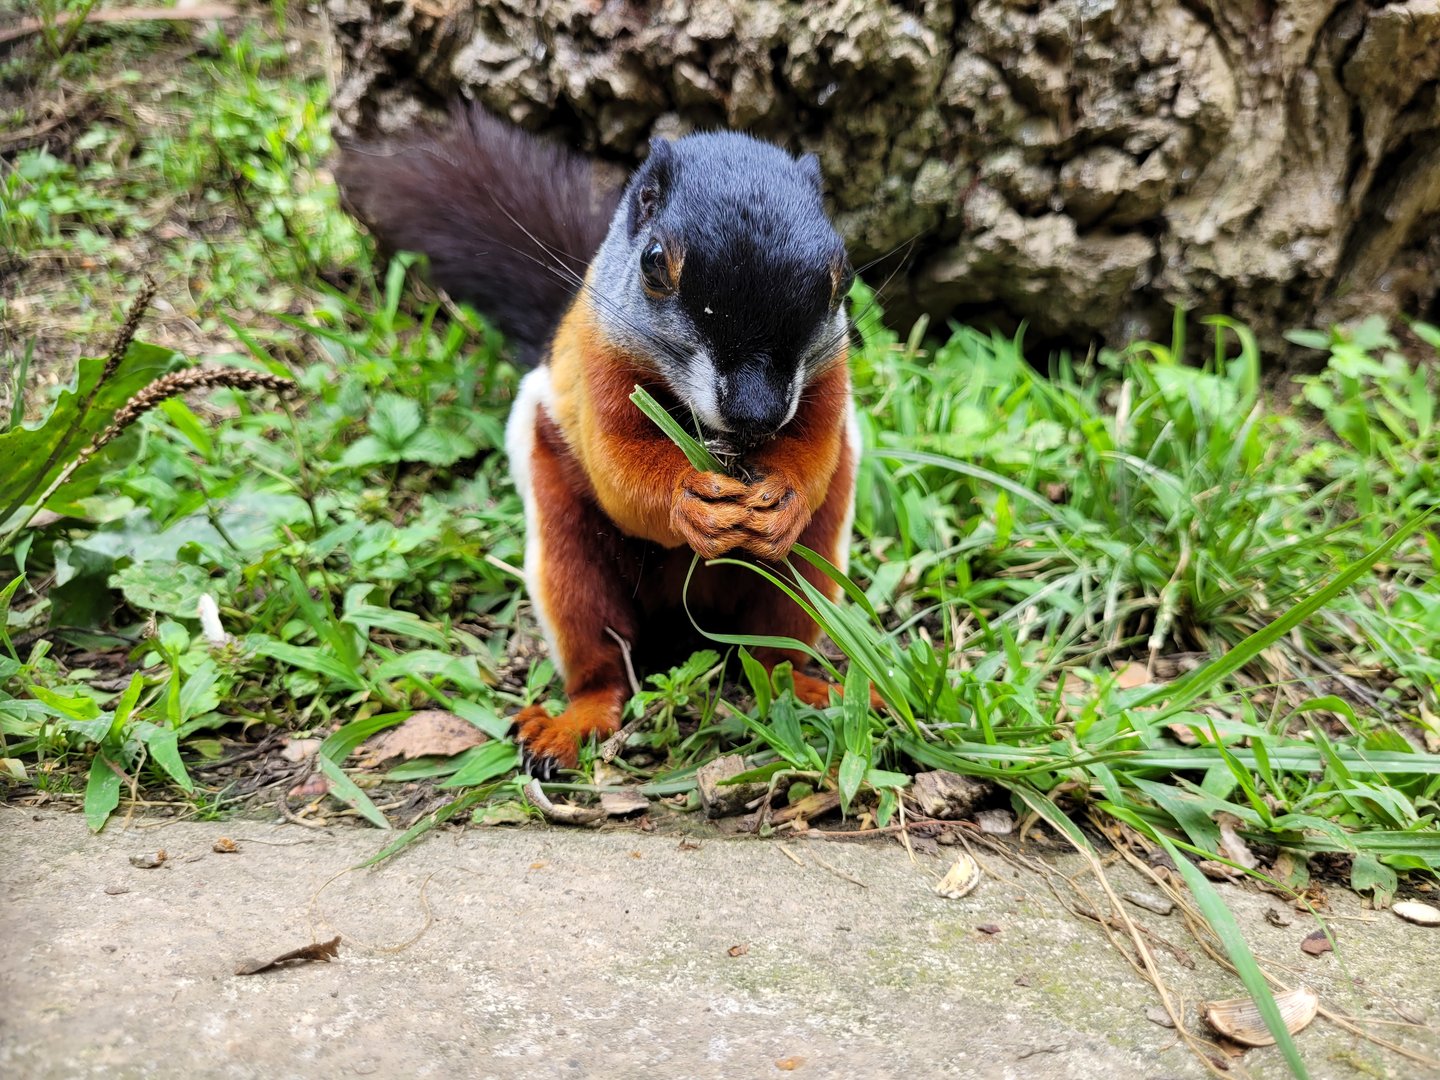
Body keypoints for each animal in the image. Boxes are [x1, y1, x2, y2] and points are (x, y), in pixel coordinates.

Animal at [338, 106, 860, 775]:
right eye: (655, 263)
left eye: (843, 276)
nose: (756, 414)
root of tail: (685, 626)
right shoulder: (597, 364)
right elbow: (619, 472)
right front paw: (690, 502)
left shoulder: (829, 376)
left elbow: (816, 448)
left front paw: (784, 500)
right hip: (570, 561)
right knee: (602, 658)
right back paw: (571, 724)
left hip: (804, 577)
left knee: (775, 649)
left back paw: (821, 691)